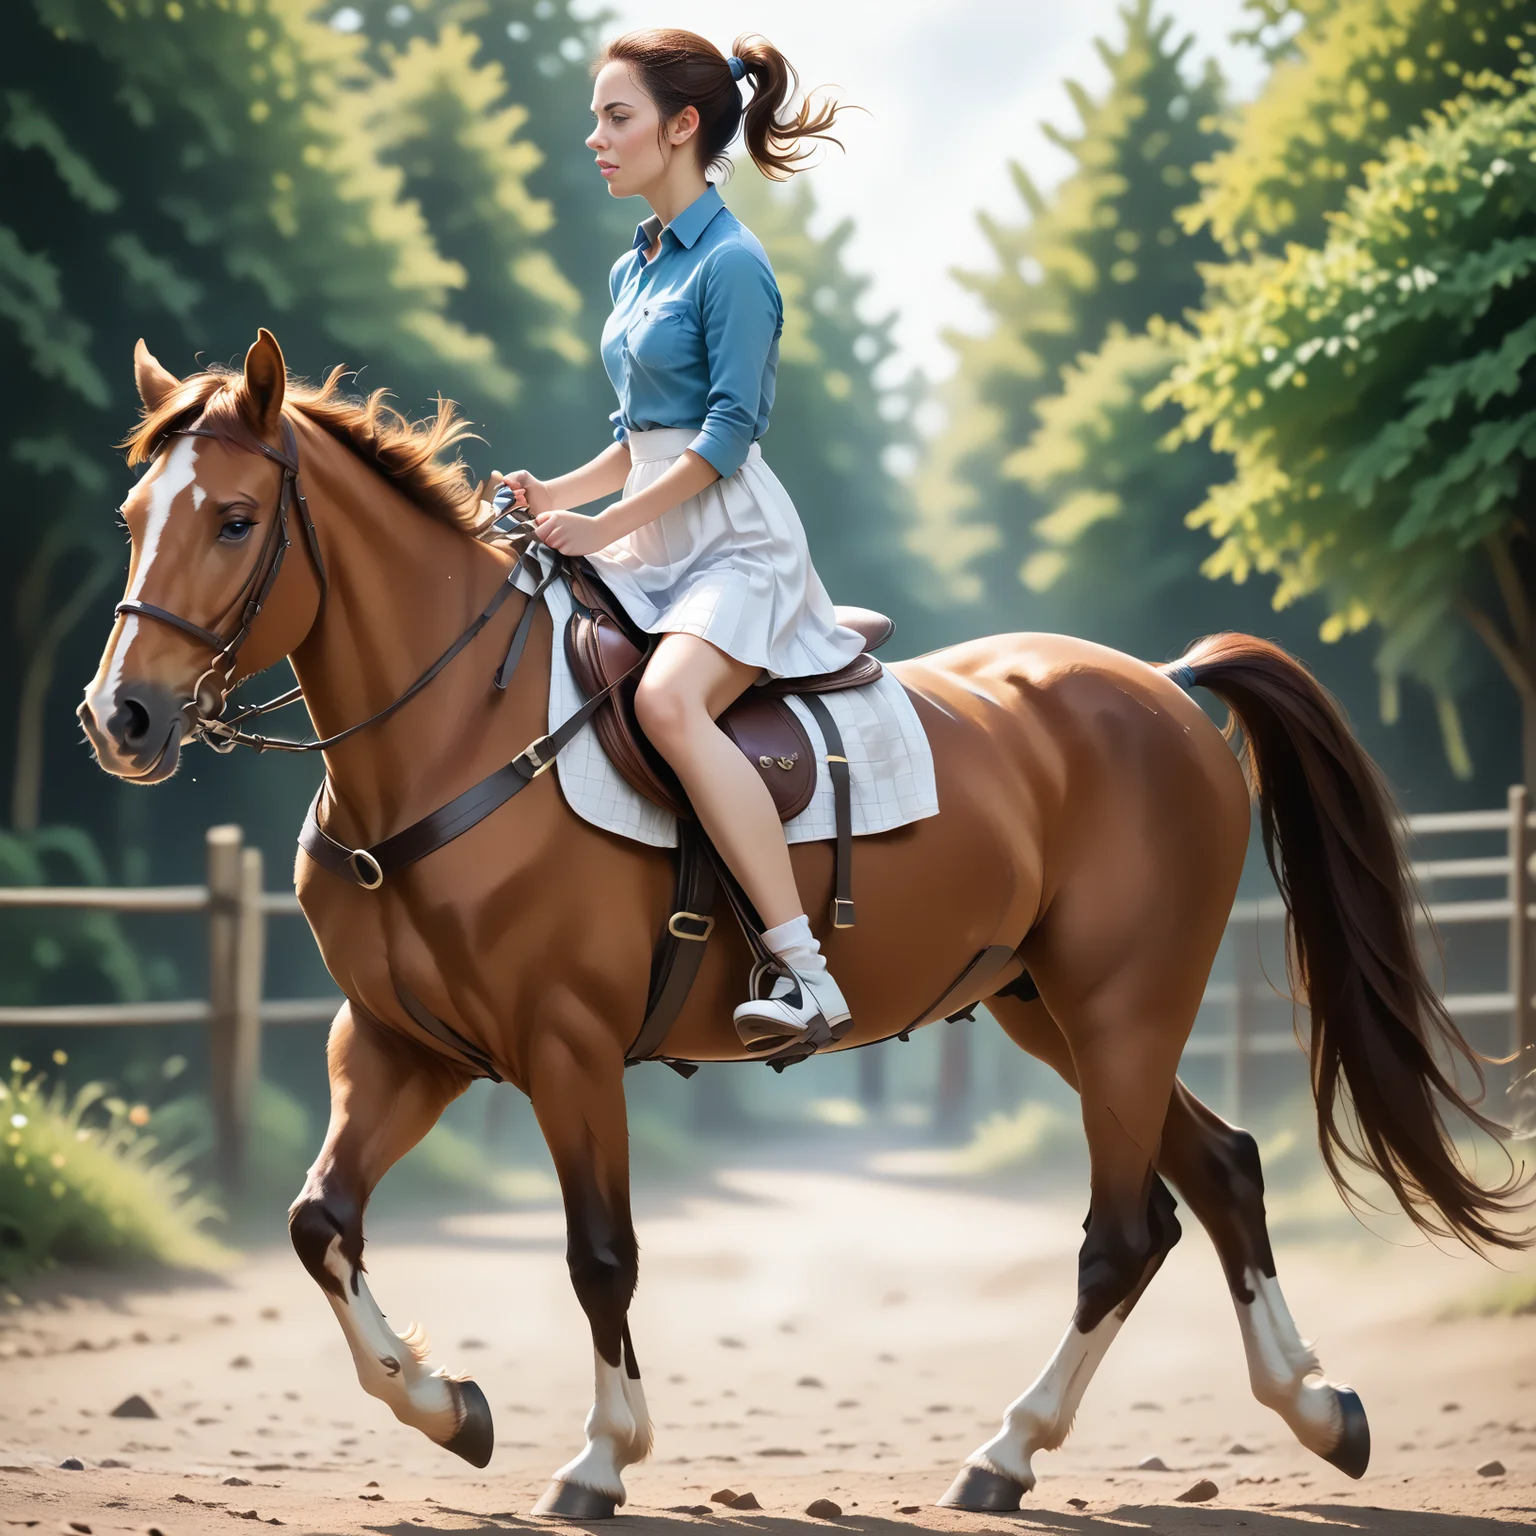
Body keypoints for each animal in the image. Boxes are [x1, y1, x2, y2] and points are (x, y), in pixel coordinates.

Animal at [80, 329, 1528, 1517]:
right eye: (133, 513)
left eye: (234, 518)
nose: (121, 719)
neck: (456, 738)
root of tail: (1164, 687)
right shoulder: (400, 1047)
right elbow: (319, 1222)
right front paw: (449, 1408)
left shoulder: (565, 1049)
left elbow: (599, 1255)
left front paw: (599, 1459)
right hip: (1053, 1013)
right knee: (1217, 1174)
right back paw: (1311, 1409)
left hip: (1123, 1009)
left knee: (1126, 1229)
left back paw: (1010, 1450)